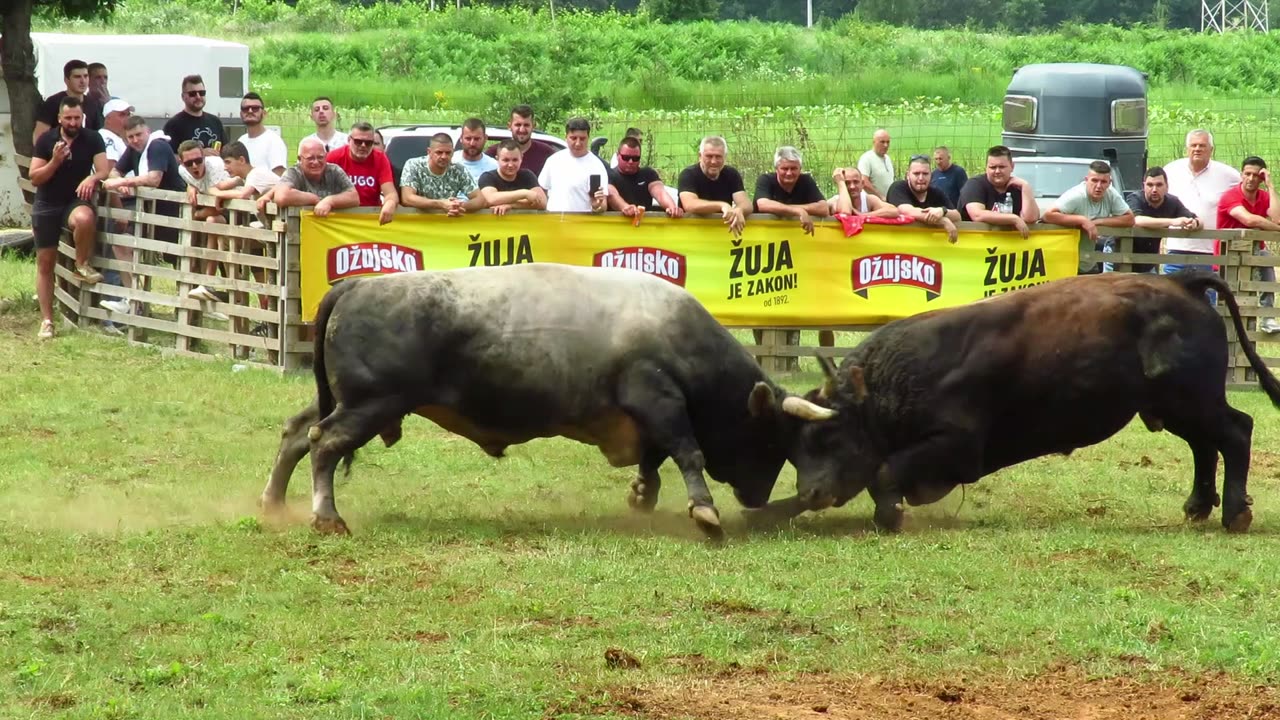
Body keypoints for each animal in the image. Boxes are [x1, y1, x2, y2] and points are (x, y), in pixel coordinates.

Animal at [264, 262, 834, 532]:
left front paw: (642, 496)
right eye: (769, 439)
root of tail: (356, 286)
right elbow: (686, 452)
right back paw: (326, 516)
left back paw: (273, 502)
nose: (757, 498)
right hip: (369, 404)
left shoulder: (645, 414)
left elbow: (653, 460)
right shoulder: (657, 395)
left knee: (296, 433)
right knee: (323, 443)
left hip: (346, 399)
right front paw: (704, 511)